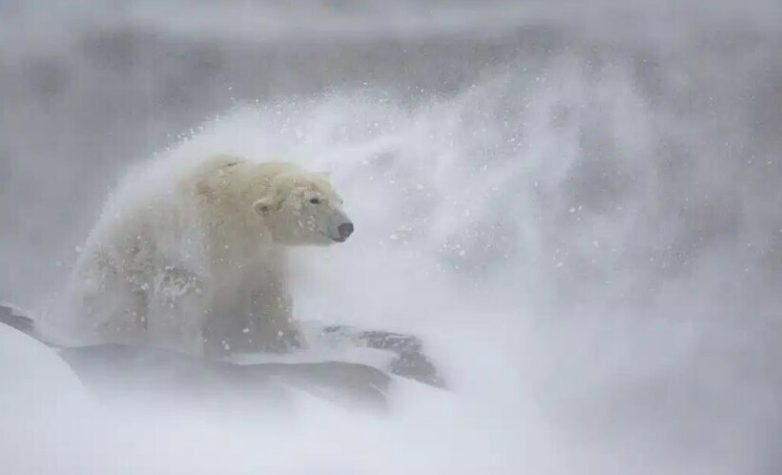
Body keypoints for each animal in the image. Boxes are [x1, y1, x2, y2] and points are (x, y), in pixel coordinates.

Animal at [64, 154, 356, 358]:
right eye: (314, 200)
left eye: (339, 199)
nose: (346, 227)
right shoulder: (194, 239)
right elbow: (180, 294)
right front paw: (183, 348)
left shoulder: (262, 255)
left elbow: (267, 295)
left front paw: (289, 340)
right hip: (108, 279)